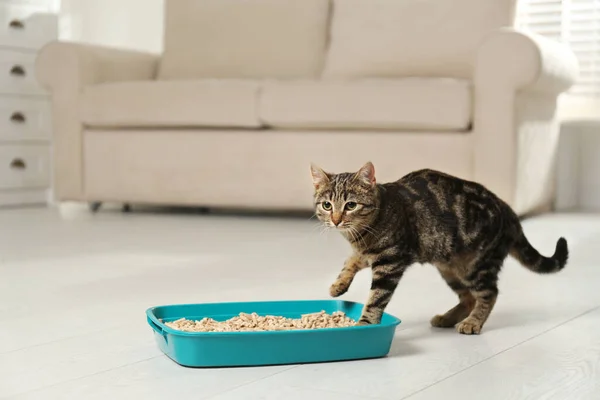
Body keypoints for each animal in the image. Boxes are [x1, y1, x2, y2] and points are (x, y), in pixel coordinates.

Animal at [312, 162, 568, 334]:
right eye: (327, 205)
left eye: (350, 205)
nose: (336, 220)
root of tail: (507, 208)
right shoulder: (367, 254)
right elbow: (350, 262)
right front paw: (338, 285)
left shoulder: (390, 261)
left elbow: (376, 297)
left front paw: (365, 324)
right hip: (449, 268)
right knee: (469, 298)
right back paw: (447, 318)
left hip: (477, 265)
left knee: (489, 293)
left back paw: (473, 322)